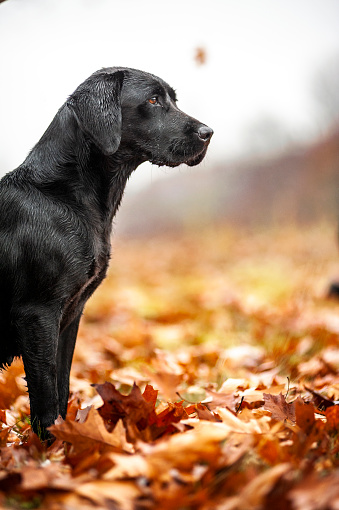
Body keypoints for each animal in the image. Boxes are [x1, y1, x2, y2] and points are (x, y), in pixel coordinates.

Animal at [0, 66, 212, 438]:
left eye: (173, 99)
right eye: (153, 100)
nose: (209, 133)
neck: (63, 194)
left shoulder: (70, 317)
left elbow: (61, 387)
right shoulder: (37, 314)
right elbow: (45, 396)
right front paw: (50, 447)